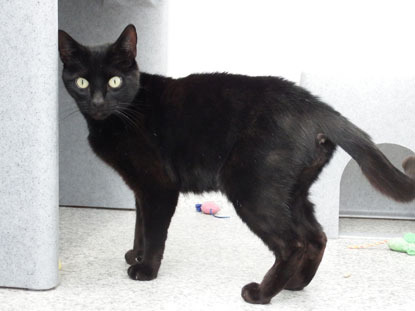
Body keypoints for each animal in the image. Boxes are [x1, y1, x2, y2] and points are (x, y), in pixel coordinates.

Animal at [58, 25, 415, 308]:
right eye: (82, 82)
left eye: (115, 82)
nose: (98, 102)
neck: (121, 114)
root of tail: (316, 106)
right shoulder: (140, 189)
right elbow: (139, 226)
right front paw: (136, 254)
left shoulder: (158, 187)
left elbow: (154, 232)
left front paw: (146, 270)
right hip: (291, 192)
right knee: (316, 236)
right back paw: (295, 284)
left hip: (251, 189)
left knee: (294, 243)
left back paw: (261, 293)